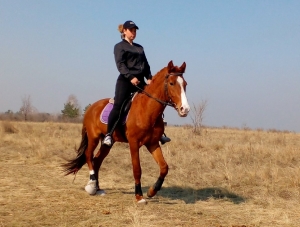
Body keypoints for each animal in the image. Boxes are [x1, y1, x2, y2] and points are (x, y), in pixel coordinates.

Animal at [63, 60, 190, 204]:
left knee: (97, 160)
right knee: (89, 155)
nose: (185, 109)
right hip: (93, 137)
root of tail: (92, 108)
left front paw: (152, 191)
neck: (146, 109)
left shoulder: (152, 143)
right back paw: (92, 185)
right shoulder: (134, 143)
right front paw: (139, 196)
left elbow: (164, 167)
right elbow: (137, 169)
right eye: (172, 83)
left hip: (108, 142)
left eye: (185, 84)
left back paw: (98, 188)